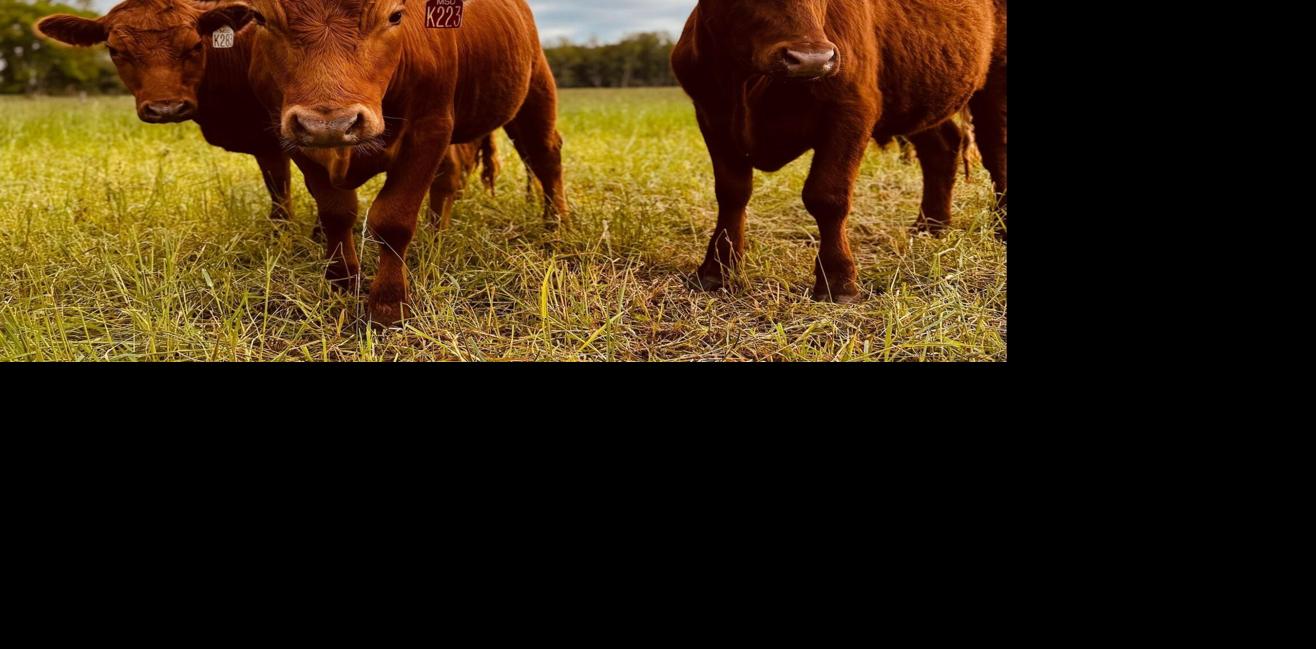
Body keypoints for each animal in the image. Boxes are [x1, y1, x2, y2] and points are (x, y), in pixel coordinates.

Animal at [194, 0, 568, 326]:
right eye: (261, 17)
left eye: (395, 16)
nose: (331, 123)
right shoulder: (288, 131)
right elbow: (336, 212)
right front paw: (342, 281)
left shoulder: (430, 128)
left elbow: (393, 219)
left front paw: (388, 304)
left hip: (535, 92)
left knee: (545, 157)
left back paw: (555, 226)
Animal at [671, 0, 1007, 303]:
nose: (812, 59)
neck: (749, 82)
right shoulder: (712, 115)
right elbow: (732, 193)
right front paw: (717, 270)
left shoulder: (851, 110)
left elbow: (827, 196)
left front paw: (837, 281)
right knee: (941, 148)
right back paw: (930, 227)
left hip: (995, 81)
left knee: (996, 151)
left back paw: (1000, 229)